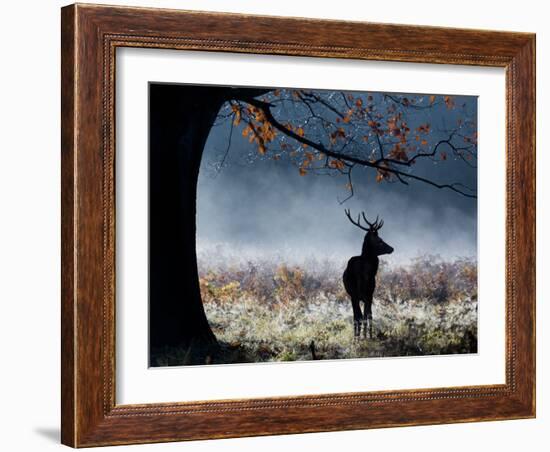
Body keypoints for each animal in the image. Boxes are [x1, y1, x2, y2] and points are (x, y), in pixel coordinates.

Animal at [342, 208, 394, 340]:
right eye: (380, 240)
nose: (392, 248)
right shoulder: (370, 293)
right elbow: (369, 315)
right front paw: (368, 336)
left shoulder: (357, 296)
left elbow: (362, 315)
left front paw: (361, 336)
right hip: (365, 291)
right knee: (363, 315)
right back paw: (363, 336)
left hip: (353, 294)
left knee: (356, 316)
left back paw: (356, 337)